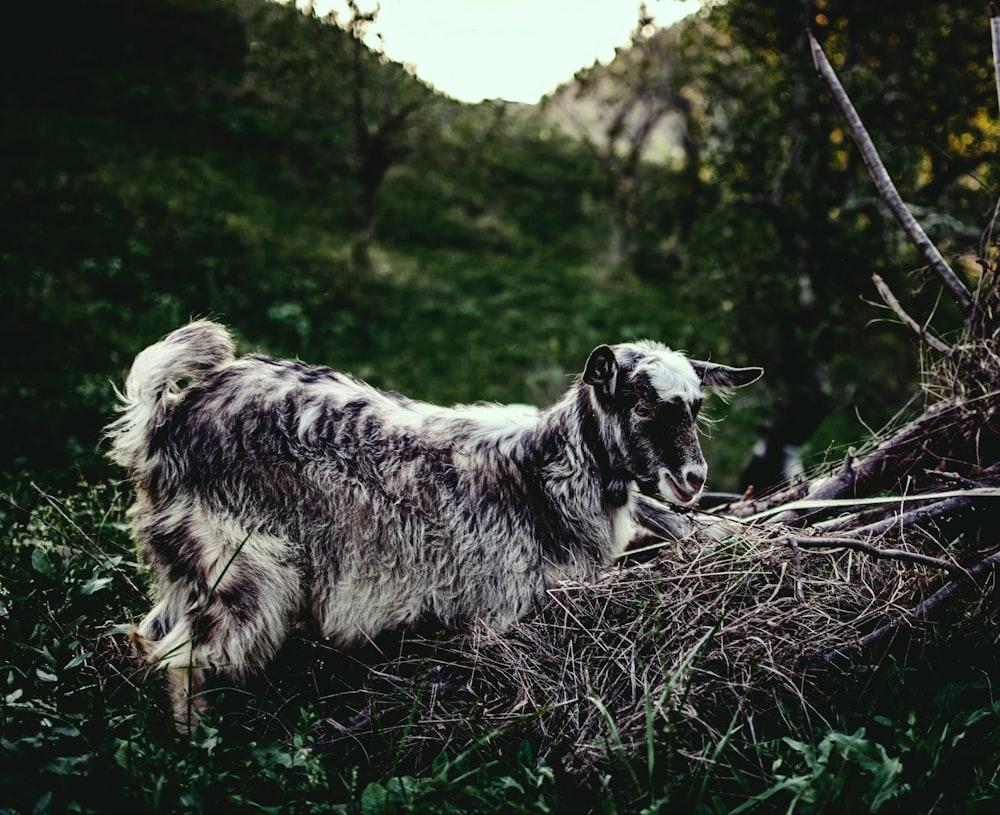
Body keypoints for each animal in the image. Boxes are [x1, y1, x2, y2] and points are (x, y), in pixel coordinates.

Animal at [105, 318, 760, 728]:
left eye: (697, 406)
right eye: (640, 401)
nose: (695, 478)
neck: (544, 475)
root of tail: (164, 419)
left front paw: (721, 533)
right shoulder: (499, 611)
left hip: (189, 564)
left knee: (144, 637)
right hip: (245, 568)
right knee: (181, 660)